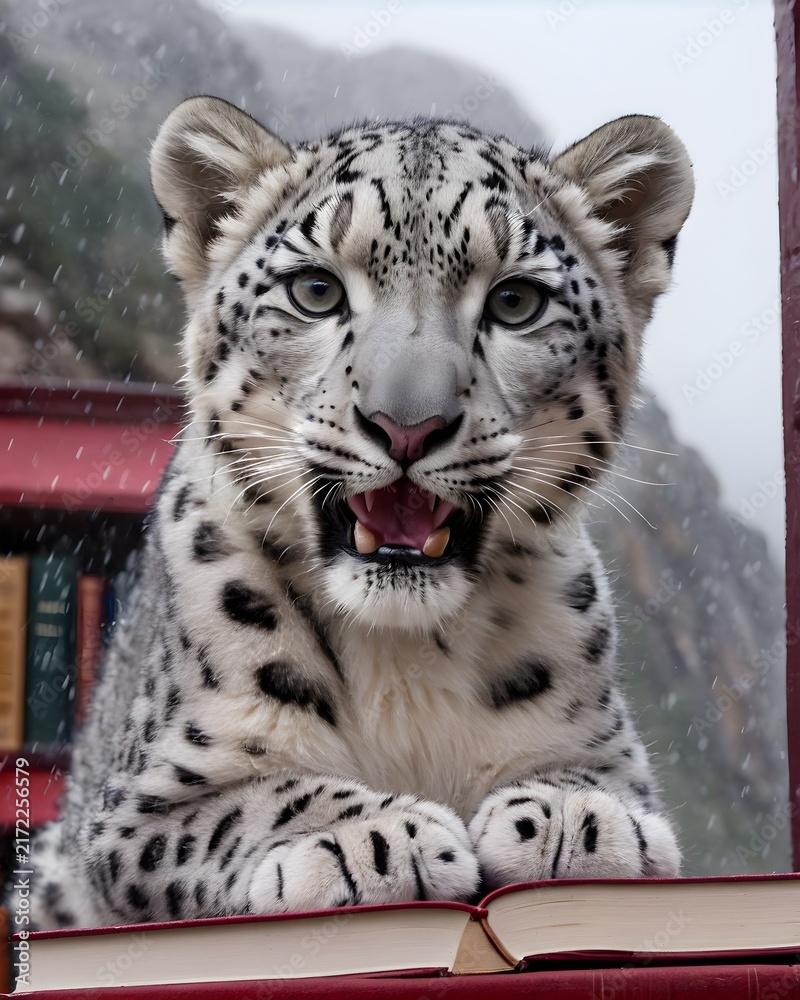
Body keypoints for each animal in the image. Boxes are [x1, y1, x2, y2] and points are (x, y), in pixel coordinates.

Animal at [23, 96, 693, 929]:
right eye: (315, 290)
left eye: (516, 301)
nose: (406, 423)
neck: (407, 656)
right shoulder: (140, 805)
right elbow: (250, 802)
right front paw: (372, 839)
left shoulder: (609, 747)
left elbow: (600, 780)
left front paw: (581, 819)